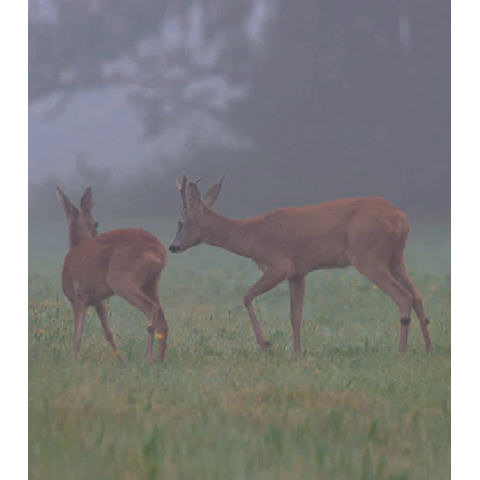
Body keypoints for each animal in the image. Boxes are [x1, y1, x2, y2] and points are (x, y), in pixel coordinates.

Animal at [56, 186, 168, 362]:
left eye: (96, 222)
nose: (95, 234)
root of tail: (160, 249)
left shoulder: (78, 297)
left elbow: (77, 335)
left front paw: (73, 361)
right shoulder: (97, 300)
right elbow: (107, 332)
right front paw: (120, 358)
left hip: (122, 280)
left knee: (152, 309)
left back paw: (148, 359)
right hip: (151, 283)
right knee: (163, 322)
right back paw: (159, 360)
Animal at [168, 174, 432, 354]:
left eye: (181, 222)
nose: (172, 246)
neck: (252, 237)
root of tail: (401, 218)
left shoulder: (279, 265)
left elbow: (246, 296)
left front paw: (266, 343)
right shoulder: (299, 272)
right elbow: (295, 314)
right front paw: (297, 352)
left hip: (369, 257)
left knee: (403, 297)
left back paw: (401, 351)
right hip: (395, 257)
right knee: (417, 295)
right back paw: (429, 348)